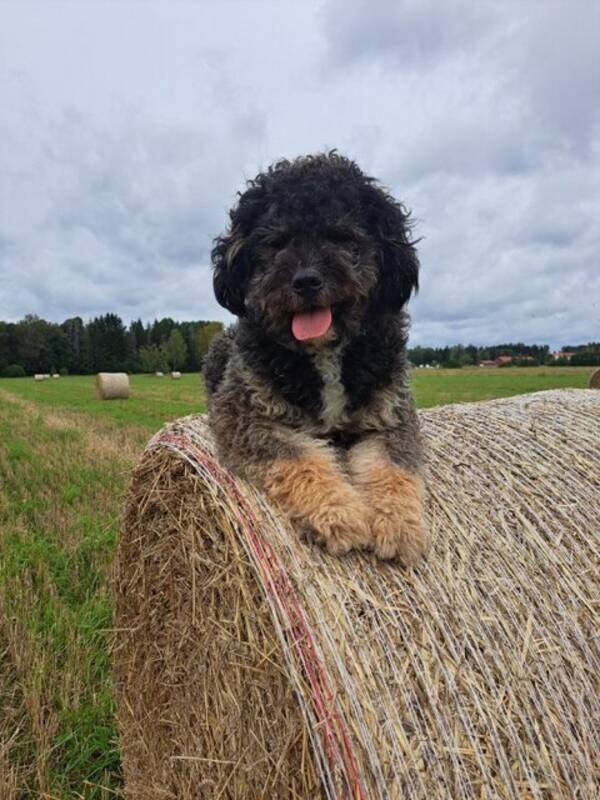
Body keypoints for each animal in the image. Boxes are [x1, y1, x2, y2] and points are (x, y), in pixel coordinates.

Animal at [204, 150, 428, 564]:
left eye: (341, 236)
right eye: (276, 242)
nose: (306, 280)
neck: (325, 352)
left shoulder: (393, 414)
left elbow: (393, 465)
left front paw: (400, 525)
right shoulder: (241, 413)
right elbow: (298, 456)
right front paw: (338, 512)